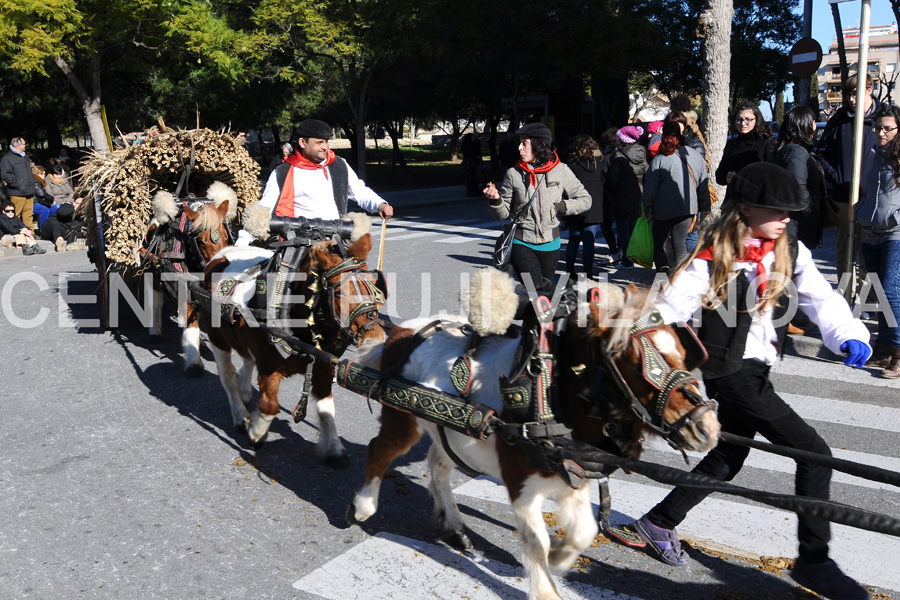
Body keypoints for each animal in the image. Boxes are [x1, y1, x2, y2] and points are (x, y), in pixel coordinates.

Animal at [192, 212, 384, 468]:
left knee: (246, 358)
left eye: (374, 287)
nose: (376, 338)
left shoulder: (323, 367)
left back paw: (245, 391)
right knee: (227, 375)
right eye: (339, 292)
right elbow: (270, 406)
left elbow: (326, 407)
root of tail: (220, 255)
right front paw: (256, 433)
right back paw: (240, 415)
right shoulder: (269, 368)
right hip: (217, 337)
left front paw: (333, 448)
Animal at [348, 270, 720, 600]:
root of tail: (402, 330)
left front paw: (559, 556)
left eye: (683, 353)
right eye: (631, 360)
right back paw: (364, 506)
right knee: (380, 449)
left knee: (438, 466)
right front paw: (546, 586)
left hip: (447, 431)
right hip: (402, 418)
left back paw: (454, 527)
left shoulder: (571, 476)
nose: (706, 426)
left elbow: (584, 531)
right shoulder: (521, 485)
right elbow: (535, 540)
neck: (552, 393)